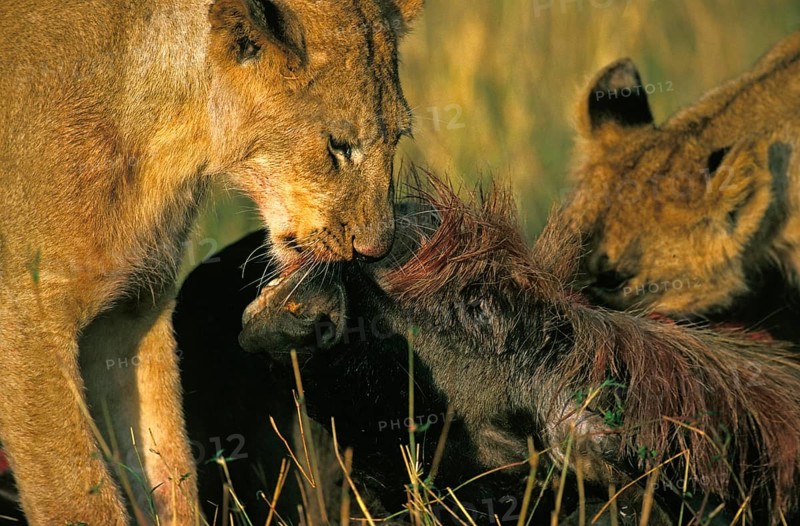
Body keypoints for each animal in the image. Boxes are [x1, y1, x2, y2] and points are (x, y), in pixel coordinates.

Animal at [0, 0, 422, 523]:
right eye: (338, 145)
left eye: (398, 137)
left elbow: (167, 466)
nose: (378, 248)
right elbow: (76, 497)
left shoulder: (131, 315)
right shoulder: (27, 322)